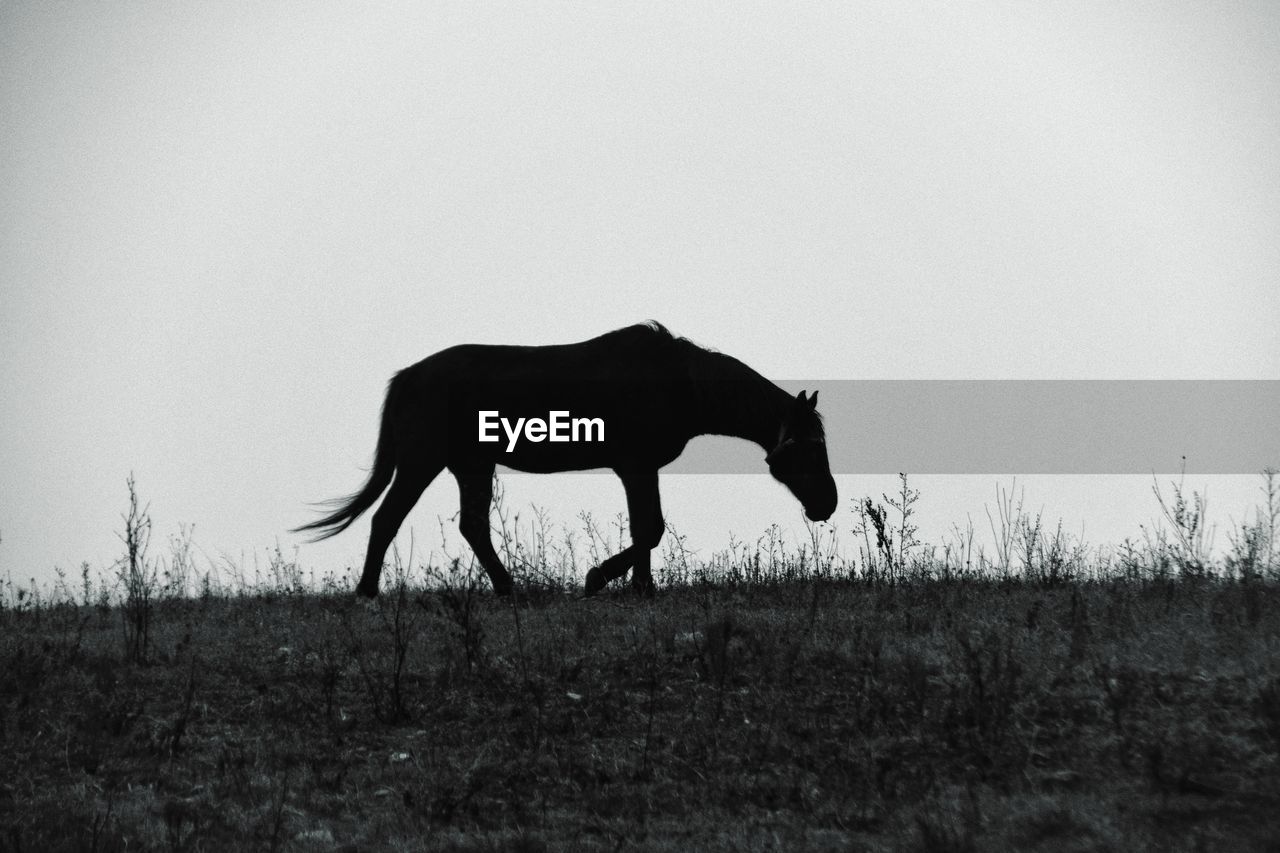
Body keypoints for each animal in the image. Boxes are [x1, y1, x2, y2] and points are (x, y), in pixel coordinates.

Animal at [298, 322, 839, 594]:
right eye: (812, 448)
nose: (827, 505)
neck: (679, 382)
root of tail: (407, 376)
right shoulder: (635, 466)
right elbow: (650, 529)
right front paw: (602, 579)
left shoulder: (640, 469)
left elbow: (646, 528)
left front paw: (640, 588)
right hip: (421, 462)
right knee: (387, 519)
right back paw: (367, 593)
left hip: (471, 465)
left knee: (473, 527)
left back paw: (509, 589)